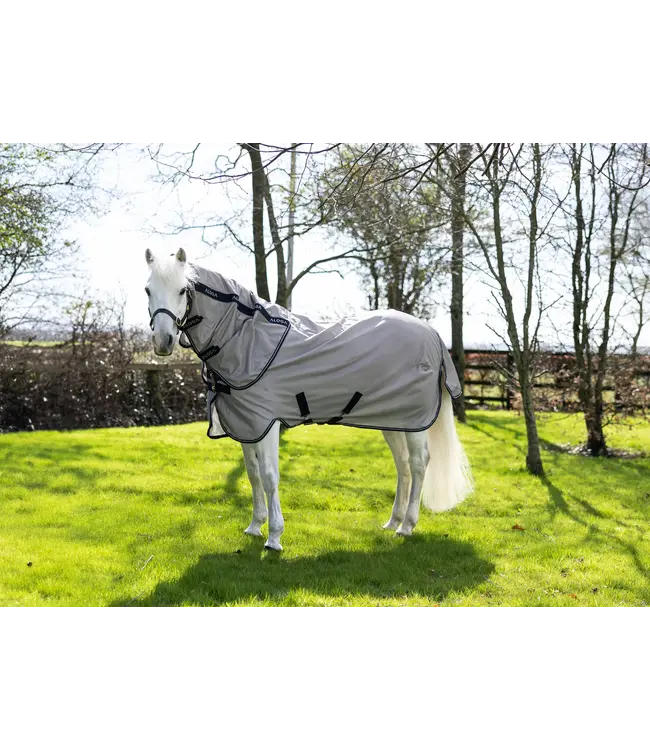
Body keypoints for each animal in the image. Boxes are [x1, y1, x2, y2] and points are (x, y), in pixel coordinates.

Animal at [145, 248, 474, 552]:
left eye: (182, 290)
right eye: (148, 289)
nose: (163, 342)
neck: (245, 338)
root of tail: (431, 332)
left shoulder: (267, 423)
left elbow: (269, 476)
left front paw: (274, 537)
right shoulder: (247, 425)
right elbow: (252, 475)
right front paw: (254, 526)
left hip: (415, 420)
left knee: (418, 463)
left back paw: (407, 526)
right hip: (393, 420)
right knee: (403, 465)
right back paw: (393, 521)